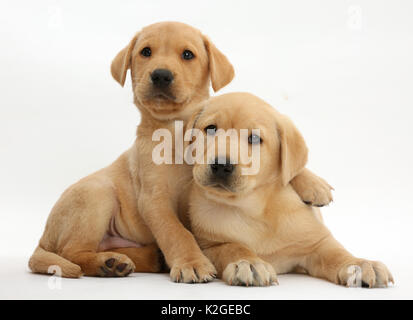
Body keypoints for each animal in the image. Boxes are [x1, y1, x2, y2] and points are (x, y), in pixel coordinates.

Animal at [28, 21, 332, 282]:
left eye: (188, 54)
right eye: (145, 52)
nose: (161, 74)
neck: (173, 130)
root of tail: (42, 238)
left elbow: (292, 164)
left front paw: (314, 184)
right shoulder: (154, 200)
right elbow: (177, 233)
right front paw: (192, 264)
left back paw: (139, 259)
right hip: (96, 194)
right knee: (73, 251)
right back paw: (107, 264)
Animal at [187, 92, 392, 288]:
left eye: (255, 138)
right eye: (211, 129)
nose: (221, 165)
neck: (251, 207)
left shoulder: (315, 243)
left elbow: (337, 253)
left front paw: (360, 264)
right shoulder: (210, 245)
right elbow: (233, 248)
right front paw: (249, 263)